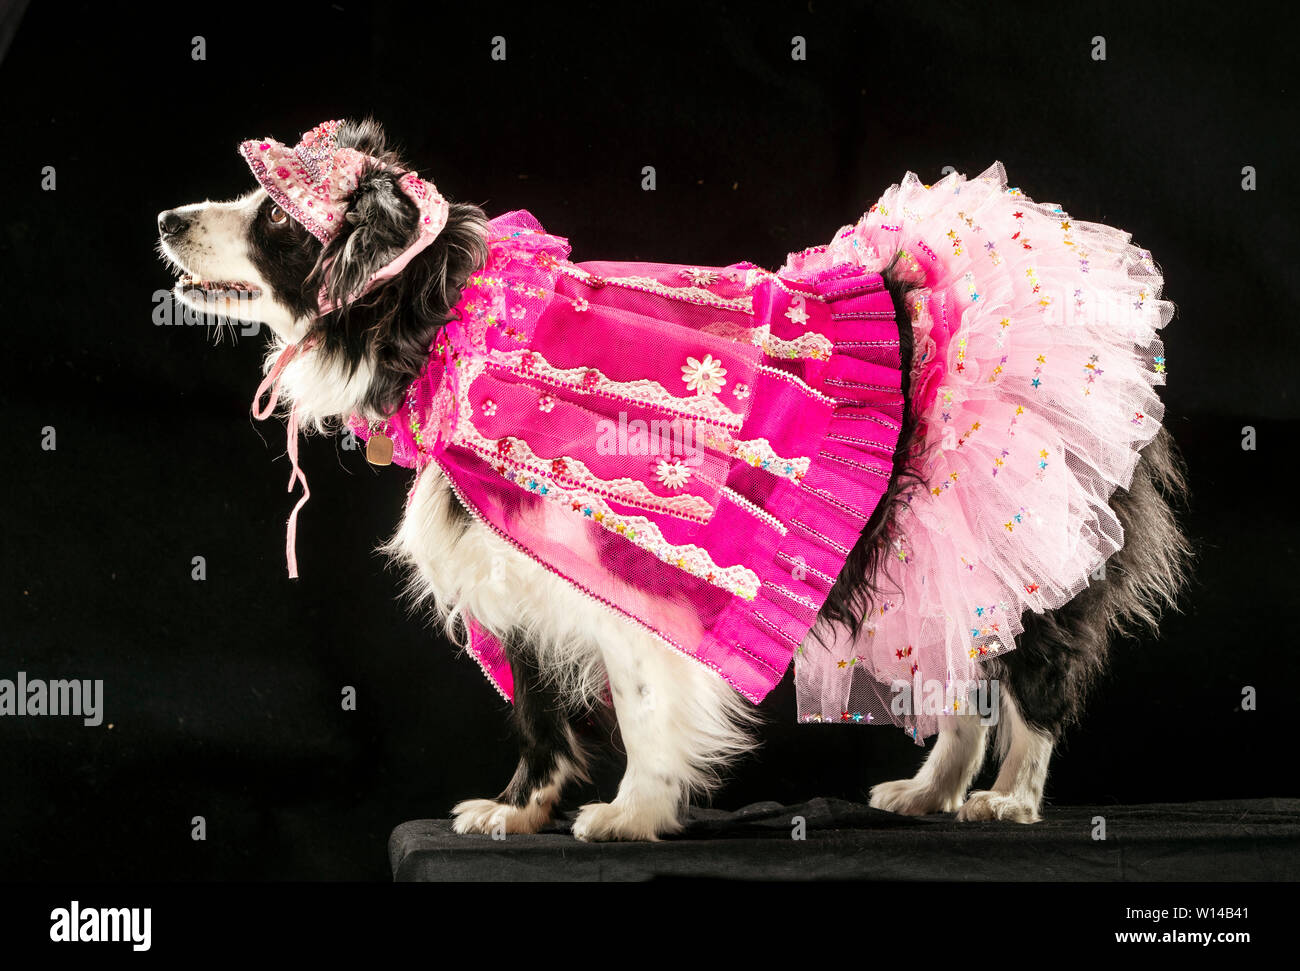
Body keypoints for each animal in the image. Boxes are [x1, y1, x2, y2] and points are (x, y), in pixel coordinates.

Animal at [157, 117, 1190, 837]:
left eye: (275, 219)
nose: (165, 215)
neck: (453, 328)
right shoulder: (515, 578)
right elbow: (537, 714)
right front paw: (516, 810)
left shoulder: (631, 578)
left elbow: (647, 705)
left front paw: (632, 811)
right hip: (946, 558)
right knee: (964, 670)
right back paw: (932, 789)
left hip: (1036, 533)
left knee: (1034, 678)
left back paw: (1009, 797)